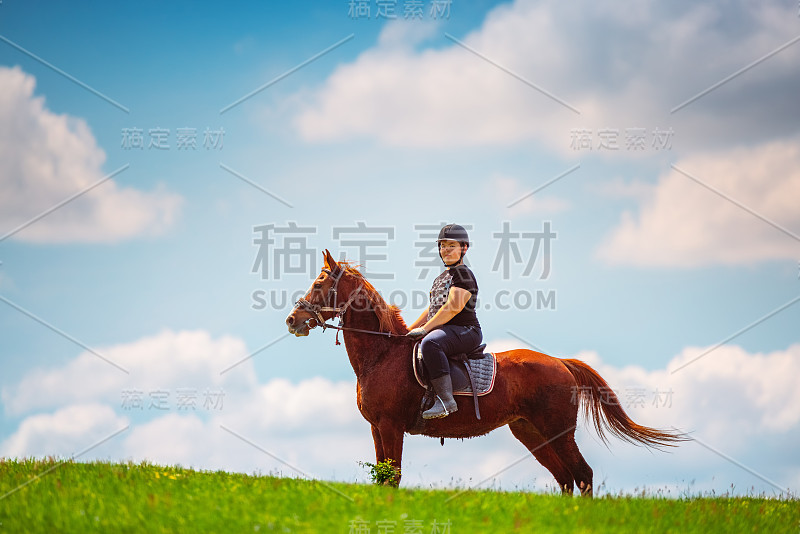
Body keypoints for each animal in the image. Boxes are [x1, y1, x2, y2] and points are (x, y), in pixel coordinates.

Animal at [284, 251, 684, 498]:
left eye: (319, 284)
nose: (292, 320)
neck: (381, 355)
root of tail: (559, 361)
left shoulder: (391, 425)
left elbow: (392, 477)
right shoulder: (377, 427)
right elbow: (383, 478)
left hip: (558, 430)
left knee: (582, 475)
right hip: (531, 432)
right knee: (566, 478)